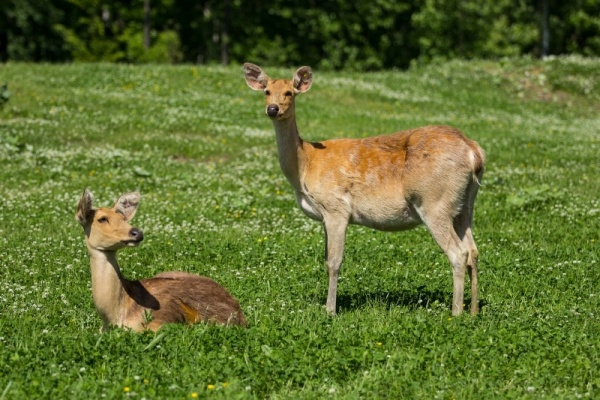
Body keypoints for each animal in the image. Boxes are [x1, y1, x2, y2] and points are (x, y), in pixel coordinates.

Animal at [75, 188, 246, 332]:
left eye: (122, 217)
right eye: (102, 219)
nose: (137, 232)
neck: (115, 315)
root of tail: (239, 311)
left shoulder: (159, 324)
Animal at [244, 63, 482, 316]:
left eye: (290, 92)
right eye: (267, 91)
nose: (272, 109)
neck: (306, 165)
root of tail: (474, 152)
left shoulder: (336, 207)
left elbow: (334, 262)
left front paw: (330, 310)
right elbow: (326, 259)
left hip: (434, 201)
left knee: (458, 253)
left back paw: (455, 313)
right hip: (465, 204)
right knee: (473, 251)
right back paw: (473, 311)